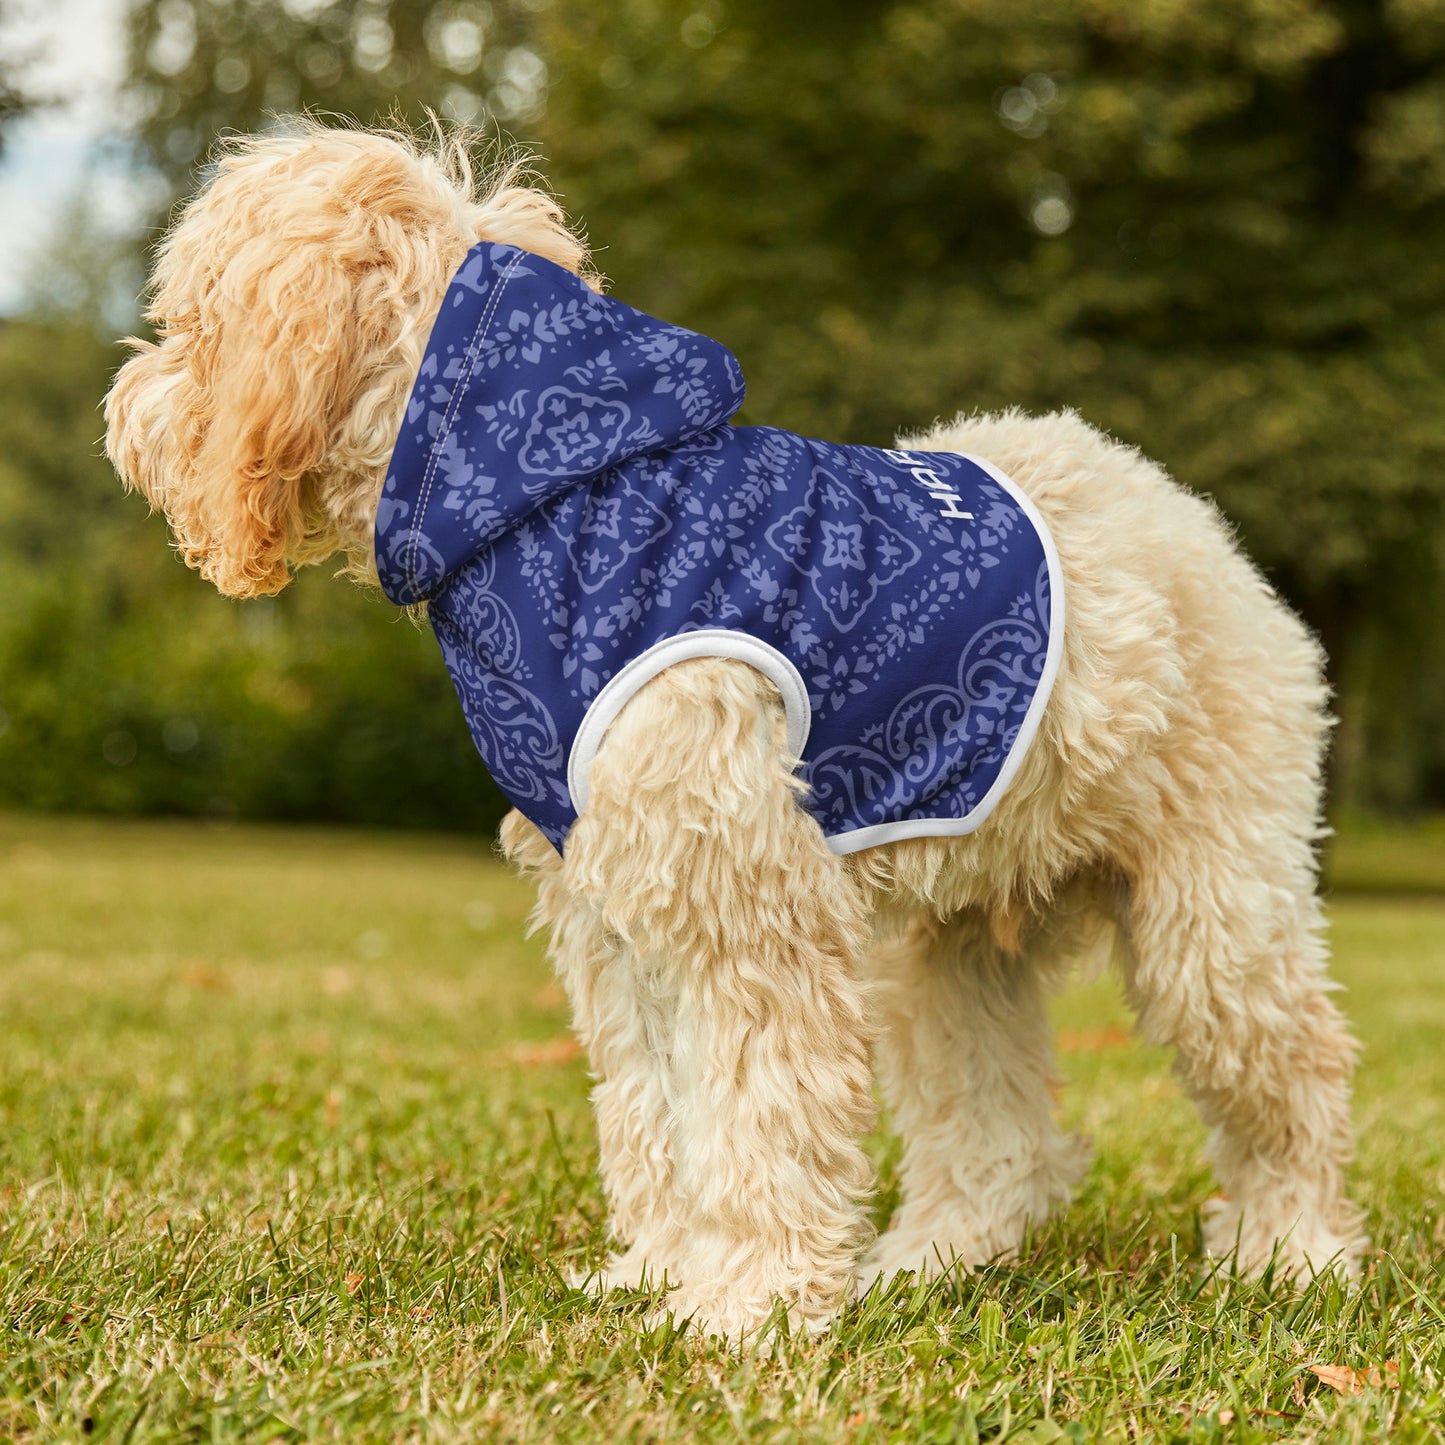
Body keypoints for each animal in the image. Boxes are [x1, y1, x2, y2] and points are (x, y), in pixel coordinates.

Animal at [106, 124, 1358, 1340]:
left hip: (1212, 916)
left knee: (1293, 1075)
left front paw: (745, 1305)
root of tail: (1182, 515)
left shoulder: (744, 906)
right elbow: (656, 1110)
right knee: (997, 1134)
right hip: (950, 946)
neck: (557, 497)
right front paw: (661, 1273)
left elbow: (758, 1114)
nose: (123, 407)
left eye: (189, 322)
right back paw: (930, 1260)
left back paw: (1291, 1253)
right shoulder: (618, 911)